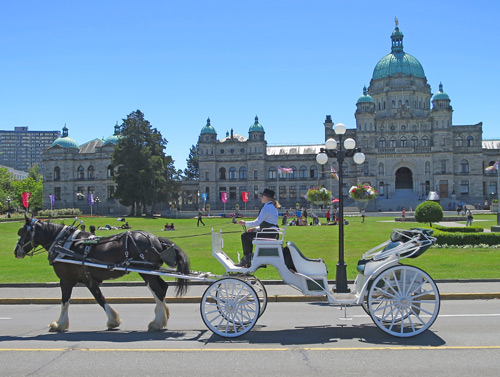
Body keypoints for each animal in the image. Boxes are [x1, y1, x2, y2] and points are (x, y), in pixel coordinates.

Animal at [13, 214, 190, 332]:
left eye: (21, 232)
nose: (16, 252)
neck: (65, 244)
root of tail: (155, 238)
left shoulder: (66, 279)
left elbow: (65, 301)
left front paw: (60, 324)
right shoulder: (89, 280)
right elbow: (100, 298)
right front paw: (113, 320)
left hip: (147, 272)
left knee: (158, 290)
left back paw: (157, 323)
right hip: (149, 271)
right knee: (161, 289)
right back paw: (162, 317)